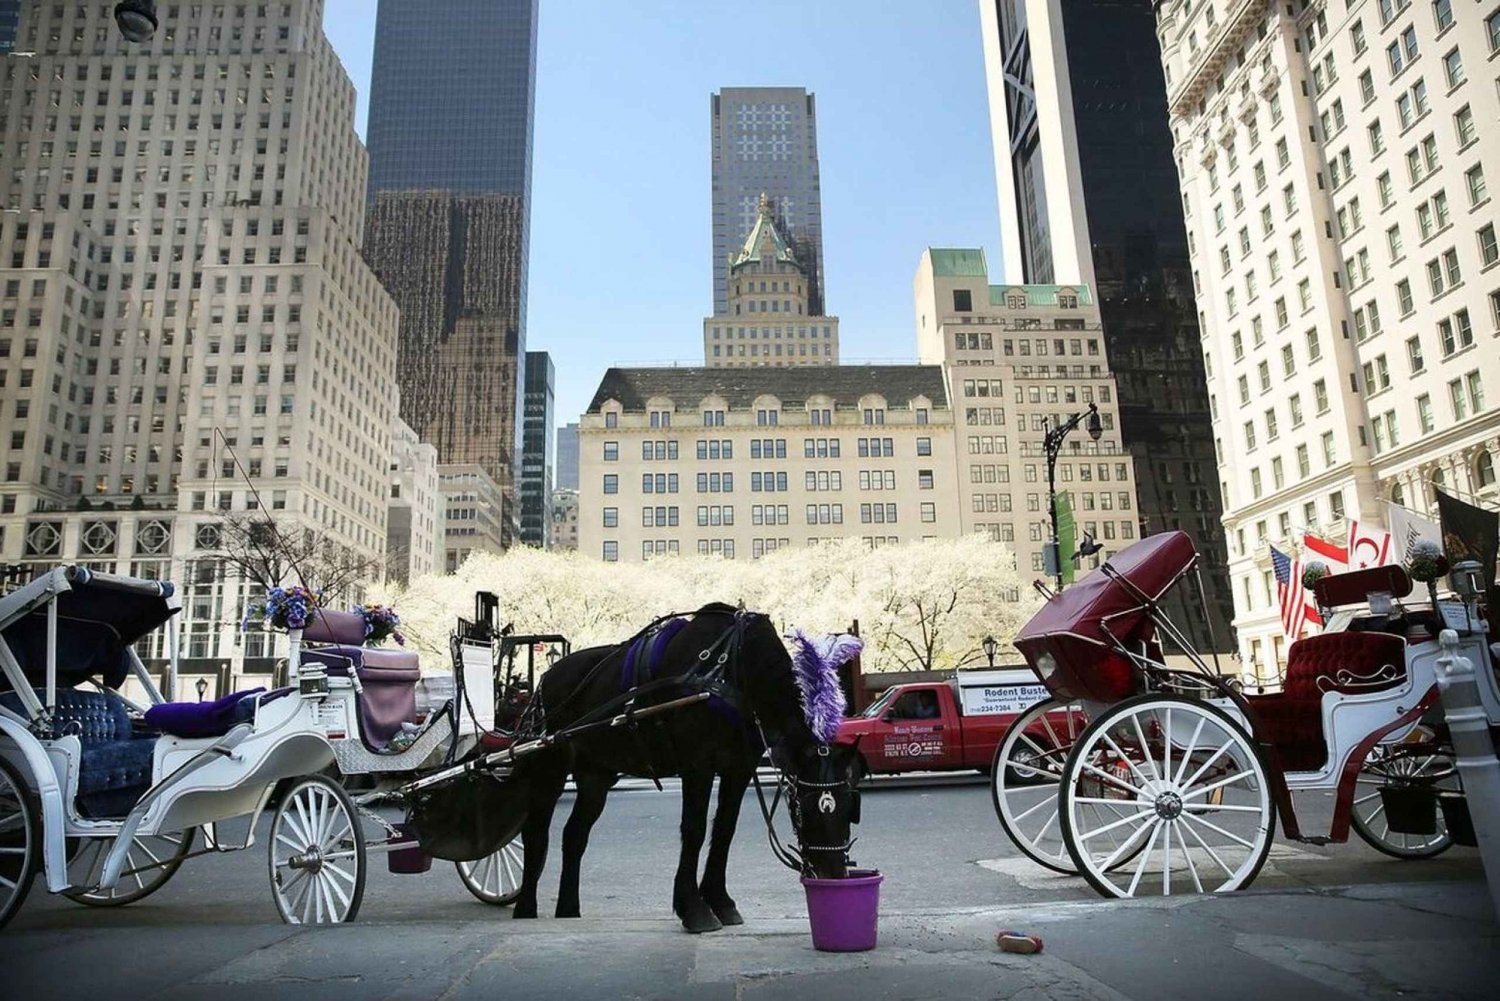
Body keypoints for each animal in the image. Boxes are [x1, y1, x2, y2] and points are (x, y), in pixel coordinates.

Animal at [510, 606, 864, 936]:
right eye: (808, 806)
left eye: (849, 807)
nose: (834, 874)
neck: (734, 667)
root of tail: (547, 677)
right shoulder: (698, 765)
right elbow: (694, 830)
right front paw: (693, 907)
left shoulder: (738, 768)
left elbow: (724, 830)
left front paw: (720, 900)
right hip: (549, 771)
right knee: (535, 836)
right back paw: (525, 907)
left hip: (596, 776)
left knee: (574, 836)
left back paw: (568, 909)